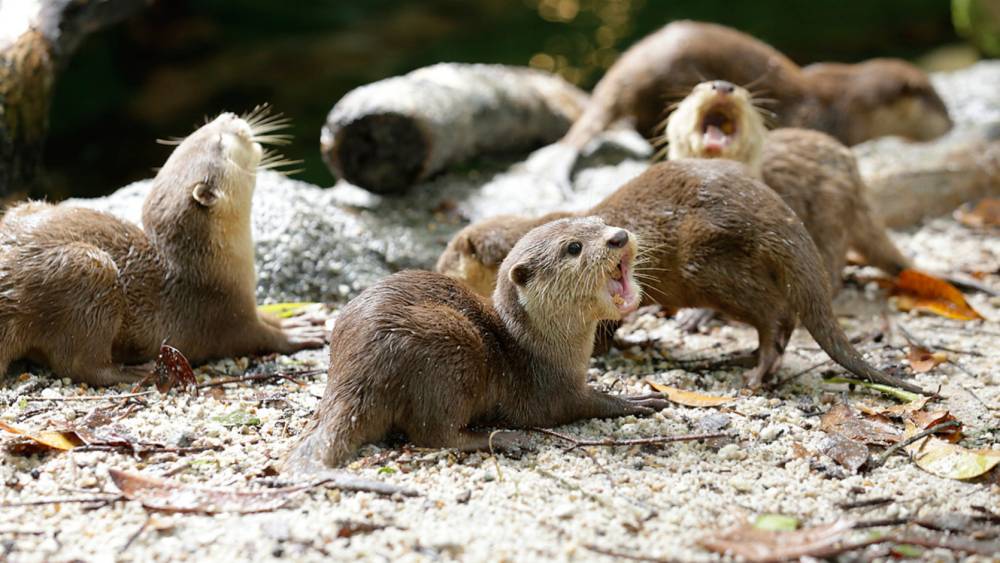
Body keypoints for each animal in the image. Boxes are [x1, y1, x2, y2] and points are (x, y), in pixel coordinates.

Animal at [0, 108, 325, 385]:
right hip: (88, 271)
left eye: (204, 128)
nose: (230, 115)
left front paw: (295, 317)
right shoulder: (226, 314)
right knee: (79, 364)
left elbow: (267, 317)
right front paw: (296, 333)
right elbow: (257, 335)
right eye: (220, 142)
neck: (212, 268)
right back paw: (136, 371)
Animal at [284, 218, 671, 472]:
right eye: (574, 247)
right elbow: (585, 403)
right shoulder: (551, 389)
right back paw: (503, 439)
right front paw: (637, 399)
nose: (619, 236)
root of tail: (354, 374)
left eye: (601, 224)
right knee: (433, 433)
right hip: (449, 348)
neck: (539, 344)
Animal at [437, 160, 924, 394]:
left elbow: (604, 335)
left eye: (444, 261)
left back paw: (757, 369)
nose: (618, 236)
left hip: (711, 264)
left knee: (776, 315)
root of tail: (775, 213)